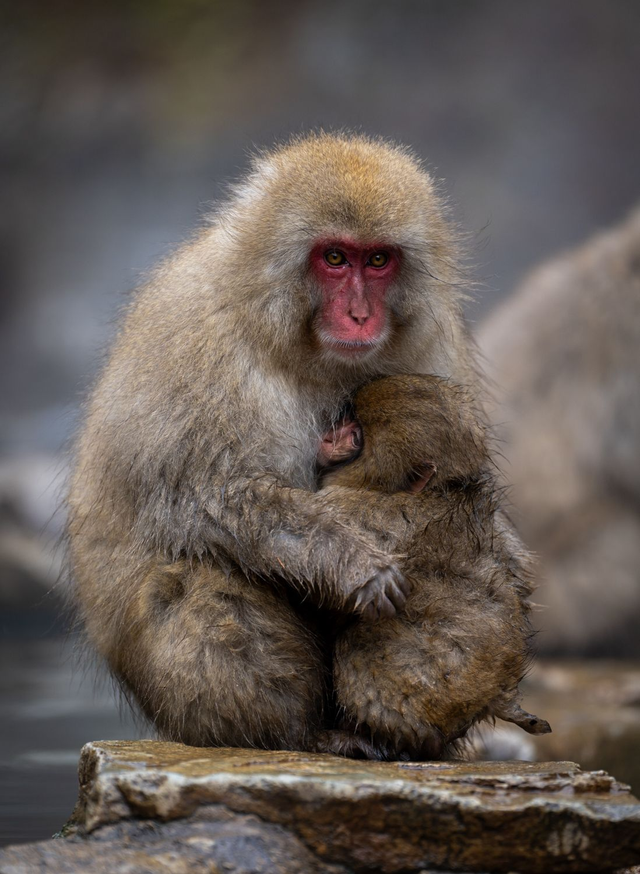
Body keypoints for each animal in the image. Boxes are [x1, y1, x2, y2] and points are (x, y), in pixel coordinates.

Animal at [68, 132, 516, 758]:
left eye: (378, 260)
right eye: (335, 259)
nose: (359, 314)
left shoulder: (434, 340)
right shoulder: (196, 340)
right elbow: (204, 498)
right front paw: (353, 564)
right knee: (200, 583)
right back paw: (294, 733)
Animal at [316, 374, 550, 758]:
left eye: (355, 436)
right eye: (348, 421)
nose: (325, 440)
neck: (432, 491)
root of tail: (496, 694)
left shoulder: (351, 506)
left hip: (438, 689)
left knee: (359, 644)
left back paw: (378, 743)